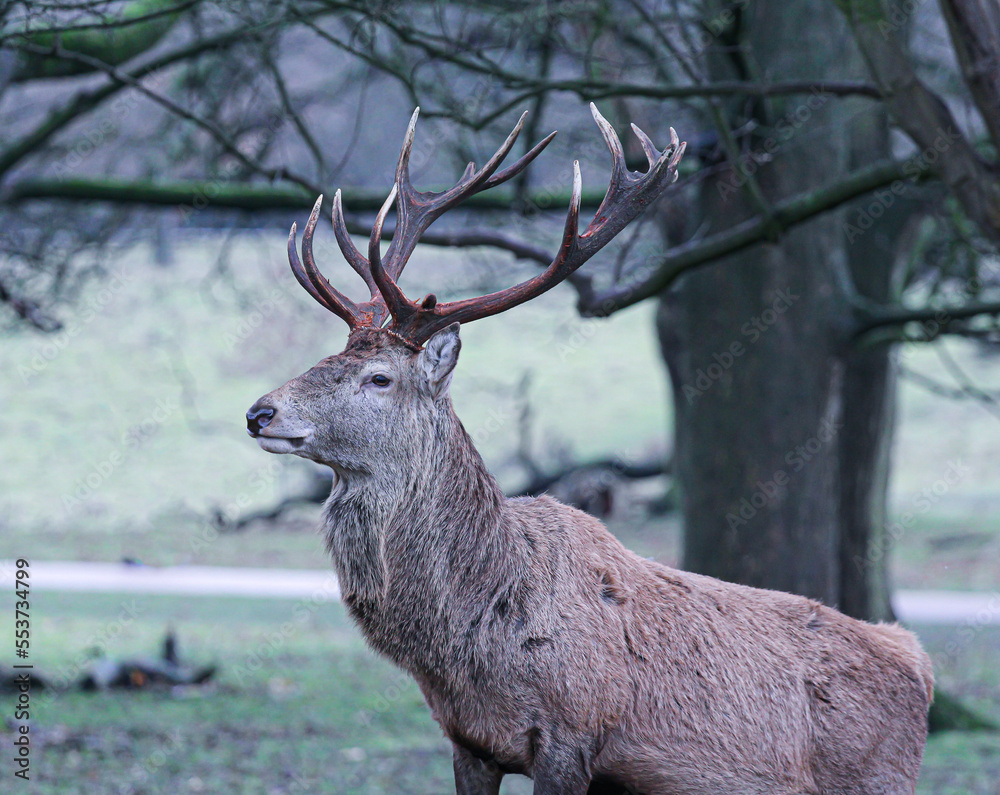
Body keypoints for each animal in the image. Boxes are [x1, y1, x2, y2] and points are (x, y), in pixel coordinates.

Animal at [246, 105, 933, 795]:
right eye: (326, 357)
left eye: (379, 378)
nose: (259, 412)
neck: (471, 641)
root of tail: (919, 666)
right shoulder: (467, 742)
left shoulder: (571, 736)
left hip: (876, 779)